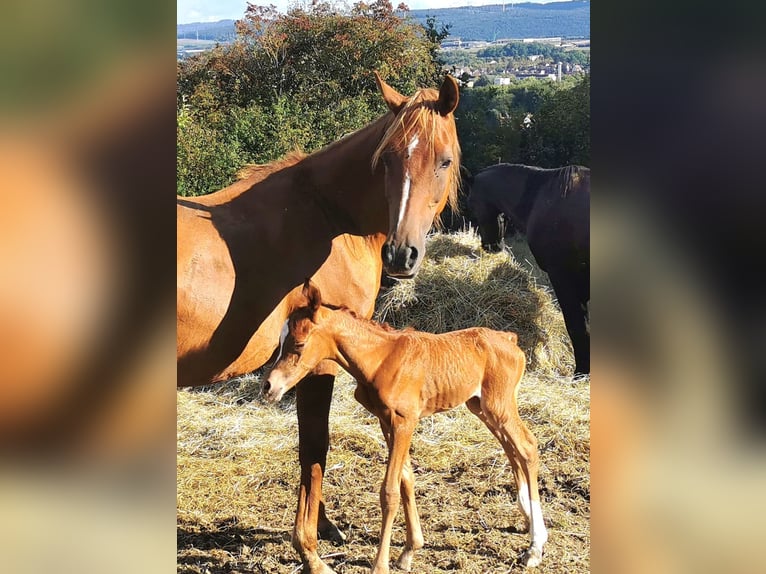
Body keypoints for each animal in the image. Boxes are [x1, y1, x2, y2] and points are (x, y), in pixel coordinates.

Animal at [176, 73, 462, 574]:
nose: (401, 255)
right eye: (387, 160)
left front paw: (325, 527)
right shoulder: (319, 361)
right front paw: (309, 550)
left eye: (443, 160)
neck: (327, 217)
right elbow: (315, 448)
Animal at [268, 282, 548, 572]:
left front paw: (380, 565)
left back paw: (535, 547)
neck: (381, 358)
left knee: (527, 447)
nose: (269, 386)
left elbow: (389, 491)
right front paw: (409, 551)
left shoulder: (404, 420)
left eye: (299, 344)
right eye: (279, 343)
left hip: (498, 405)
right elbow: (407, 479)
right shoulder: (386, 421)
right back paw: (528, 521)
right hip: (481, 406)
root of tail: (509, 338)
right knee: (512, 449)